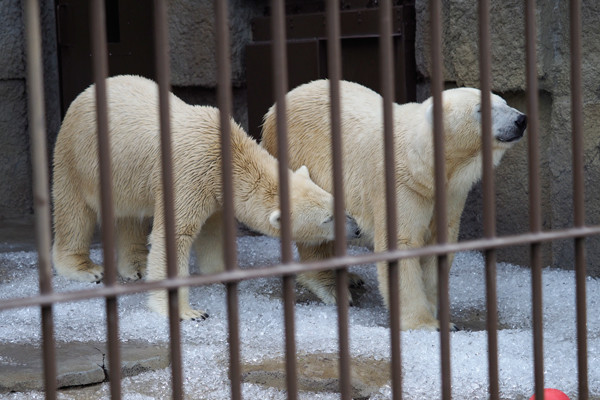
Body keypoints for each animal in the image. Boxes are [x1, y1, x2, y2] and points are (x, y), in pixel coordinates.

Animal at [52, 74, 360, 318]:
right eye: (327, 219)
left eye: (339, 205)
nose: (356, 229)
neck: (225, 154)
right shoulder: (188, 174)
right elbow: (175, 234)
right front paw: (187, 312)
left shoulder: (212, 189)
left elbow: (213, 230)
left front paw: (221, 272)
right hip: (77, 154)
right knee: (74, 211)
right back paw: (85, 268)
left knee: (129, 214)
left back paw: (137, 266)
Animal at [262, 79, 524, 330]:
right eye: (481, 109)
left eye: (503, 102)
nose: (521, 120)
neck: (422, 164)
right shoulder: (401, 185)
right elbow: (401, 242)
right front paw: (425, 324)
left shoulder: (450, 192)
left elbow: (438, 241)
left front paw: (436, 312)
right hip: (299, 155)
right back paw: (333, 287)